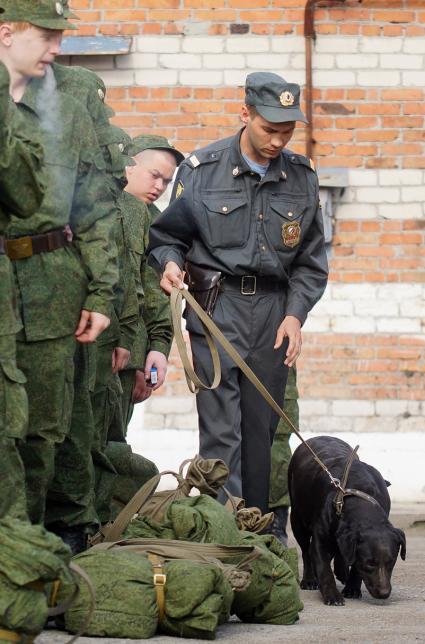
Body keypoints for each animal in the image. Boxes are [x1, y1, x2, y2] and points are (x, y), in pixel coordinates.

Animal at [288, 436, 404, 608]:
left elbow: (353, 564)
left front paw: (352, 587)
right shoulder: (320, 540)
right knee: (306, 551)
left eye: (391, 562)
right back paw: (309, 579)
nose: (384, 594)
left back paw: (342, 571)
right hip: (297, 520)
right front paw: (332, 595)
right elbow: (324, 568)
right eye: (370, 564)